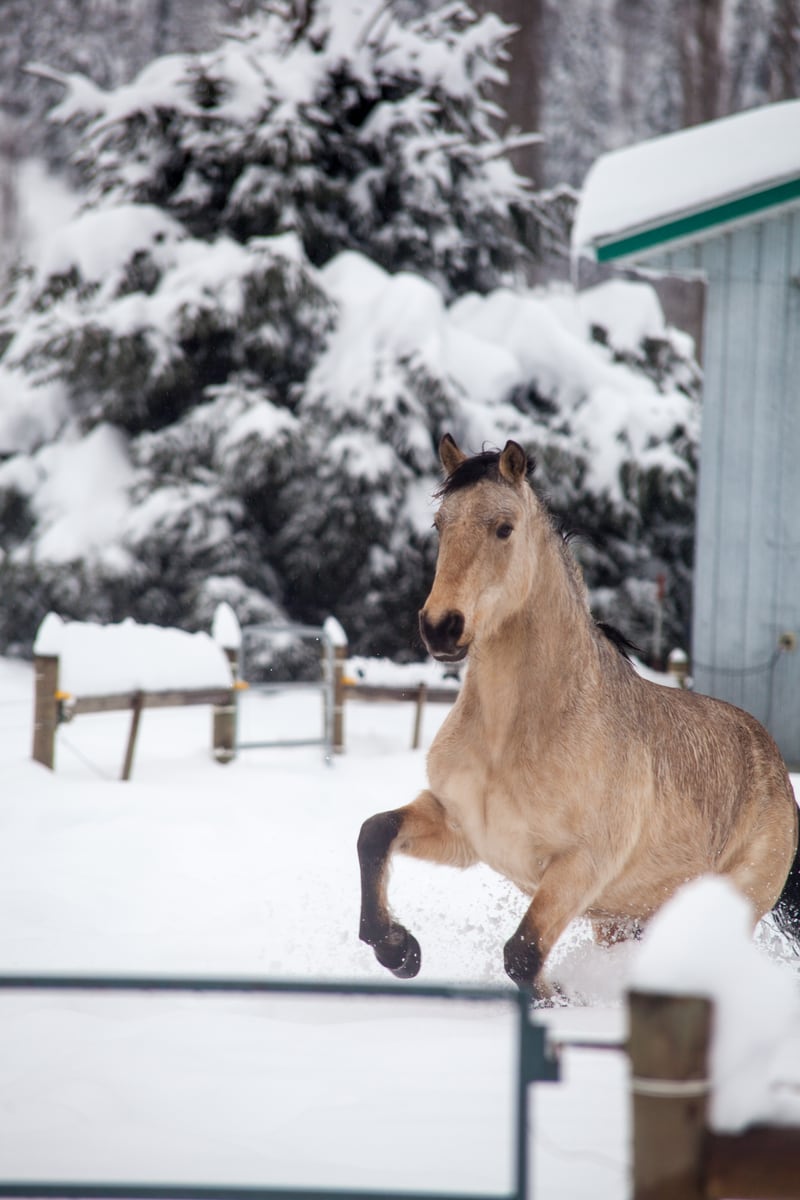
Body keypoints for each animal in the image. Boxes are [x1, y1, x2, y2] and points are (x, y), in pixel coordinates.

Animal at [358, 434, 800, 994]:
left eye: (504, 527)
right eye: (440, 525)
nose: (441, 626)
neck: (515, 735)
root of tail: (775, 768)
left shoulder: (580, 866)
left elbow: (522, 955)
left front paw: (560, 997)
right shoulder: (463, 830)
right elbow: (374, 832)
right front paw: (398, 950)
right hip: (622, 918)